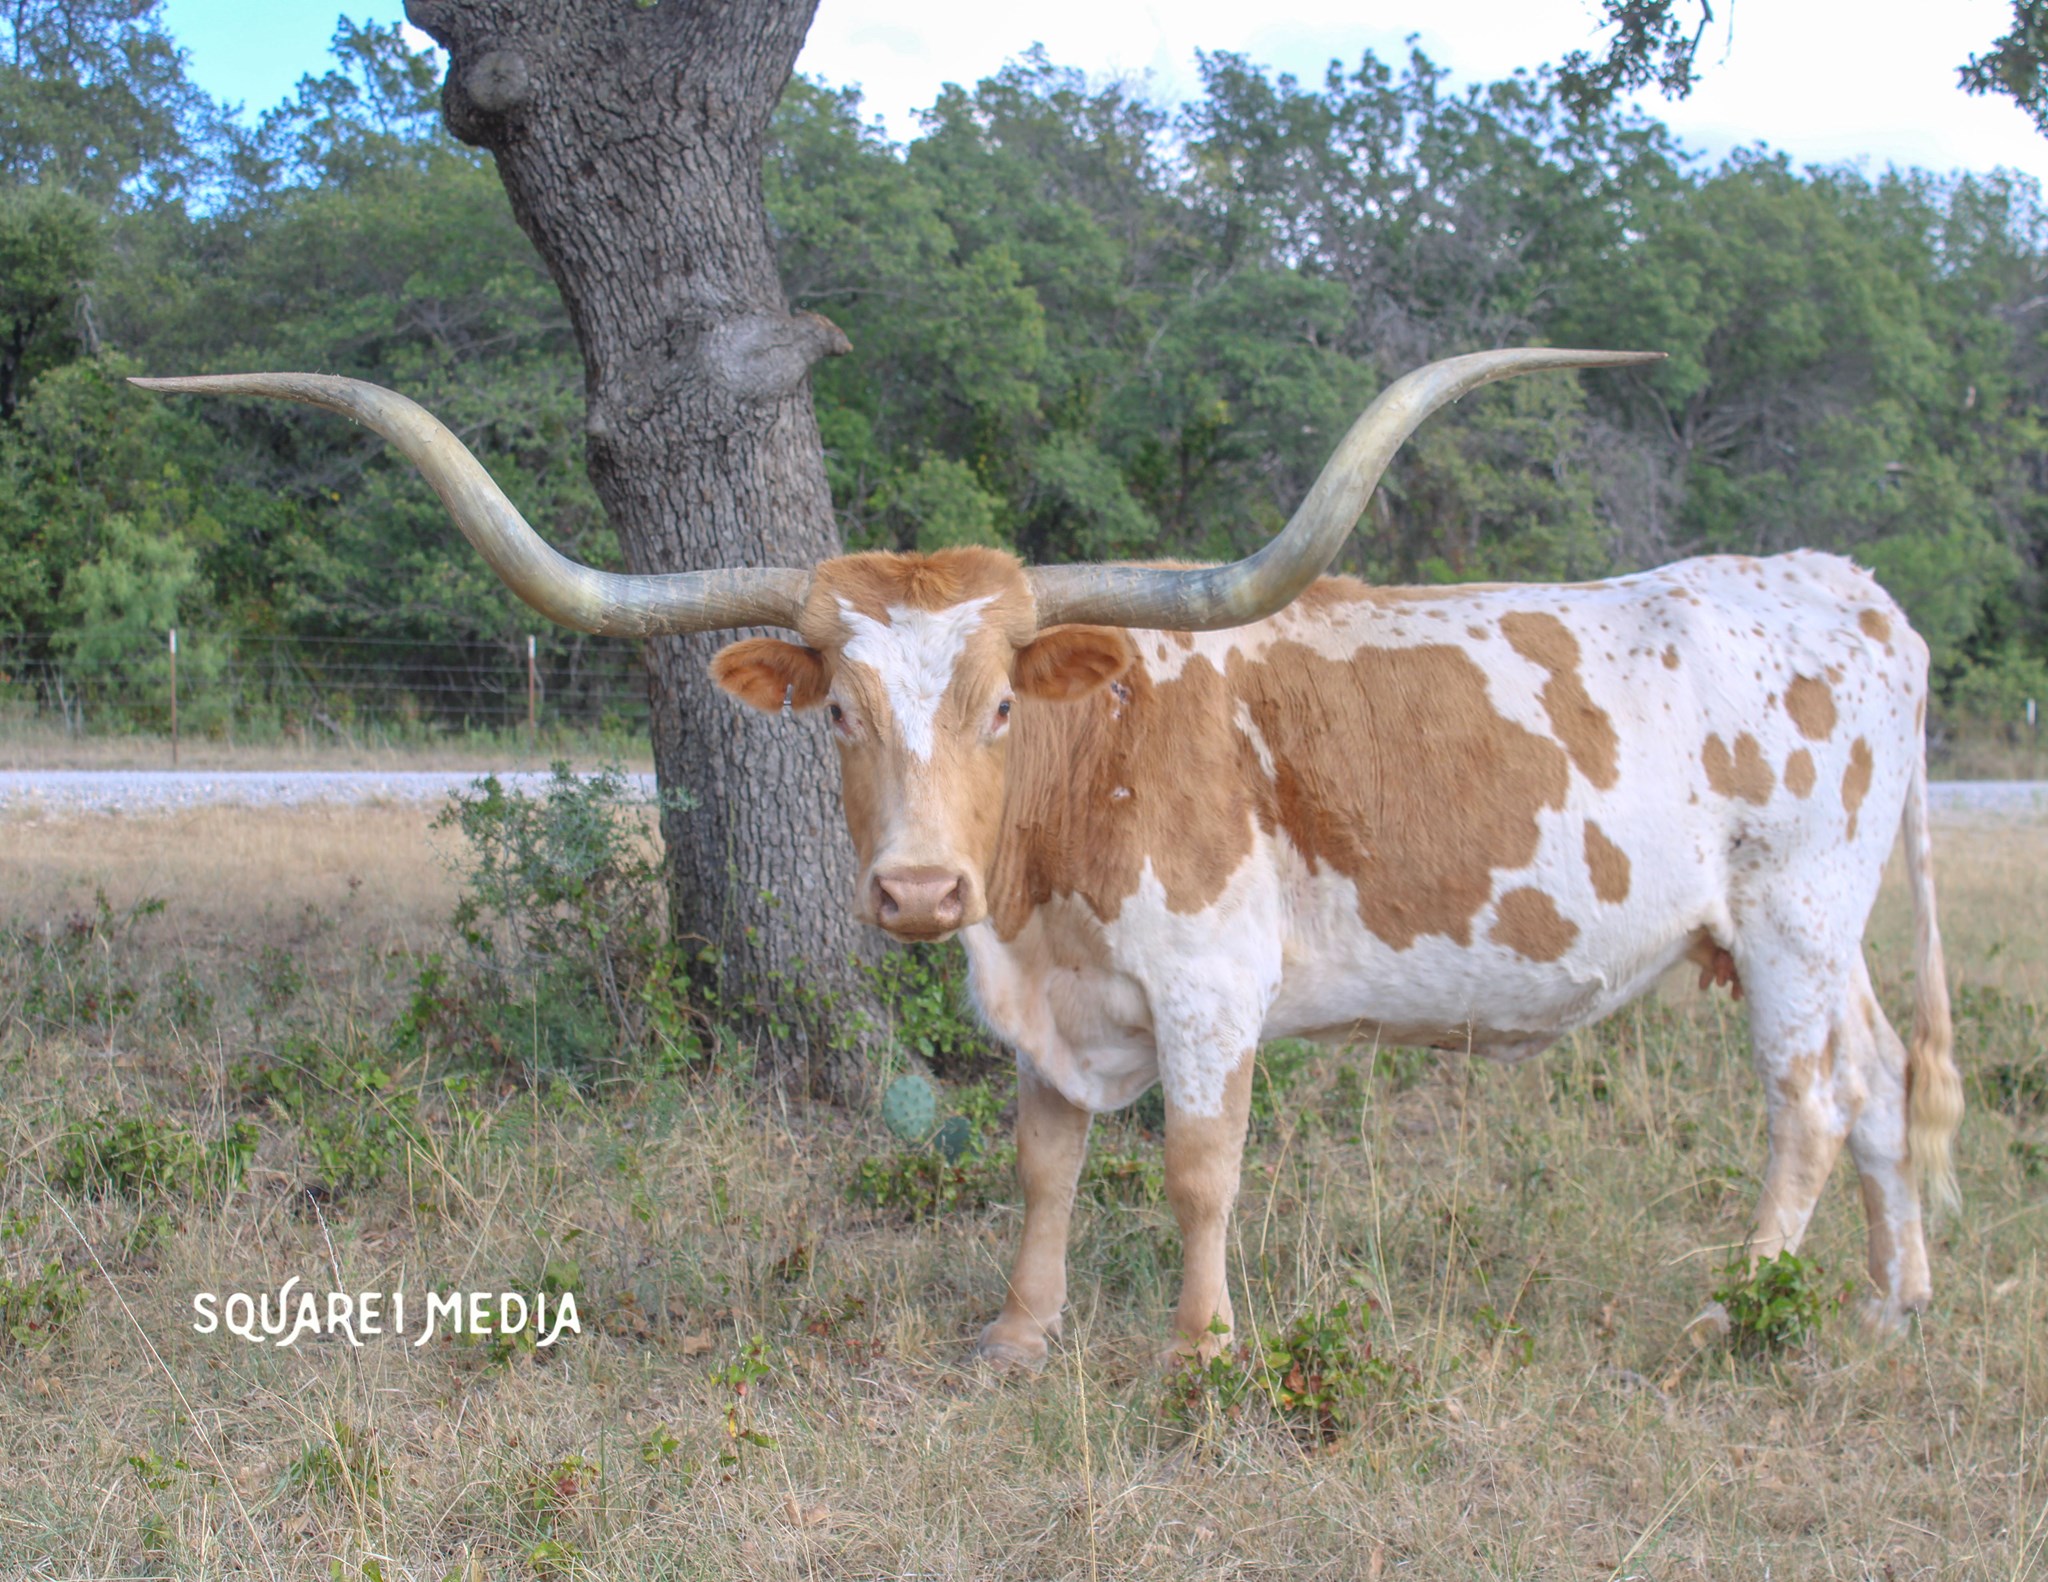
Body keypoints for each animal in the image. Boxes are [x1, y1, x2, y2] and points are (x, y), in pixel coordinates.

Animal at [135, 350, 1962, 1368]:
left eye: (1004, 697)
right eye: (839, 708)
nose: (916, 891)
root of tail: (1851, 589)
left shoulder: (1208, 984)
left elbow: (1198, 1165)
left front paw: (1199, 1349)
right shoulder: (1044, 1002)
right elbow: (1042, 1158)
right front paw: (1018, 1335)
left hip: (1792, 915)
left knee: (1809, 1097)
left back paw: (1740, 1305)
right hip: (1826, 932)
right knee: (1882, 1082)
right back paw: (1889, 1306)